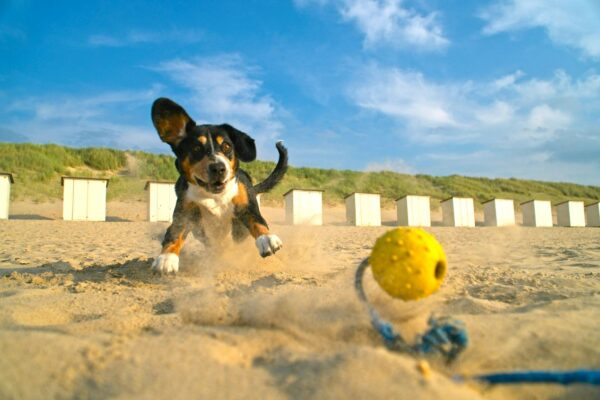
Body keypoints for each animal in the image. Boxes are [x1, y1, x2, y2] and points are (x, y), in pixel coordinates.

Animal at [151, 97, 290, 274]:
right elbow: (175, 232)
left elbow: (257, 221)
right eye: (196, 148)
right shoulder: (185, 211)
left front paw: (266, 238)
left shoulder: (245, 205)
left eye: (226, 146)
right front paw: (166, 258)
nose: (218, 167)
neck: (213, 196)